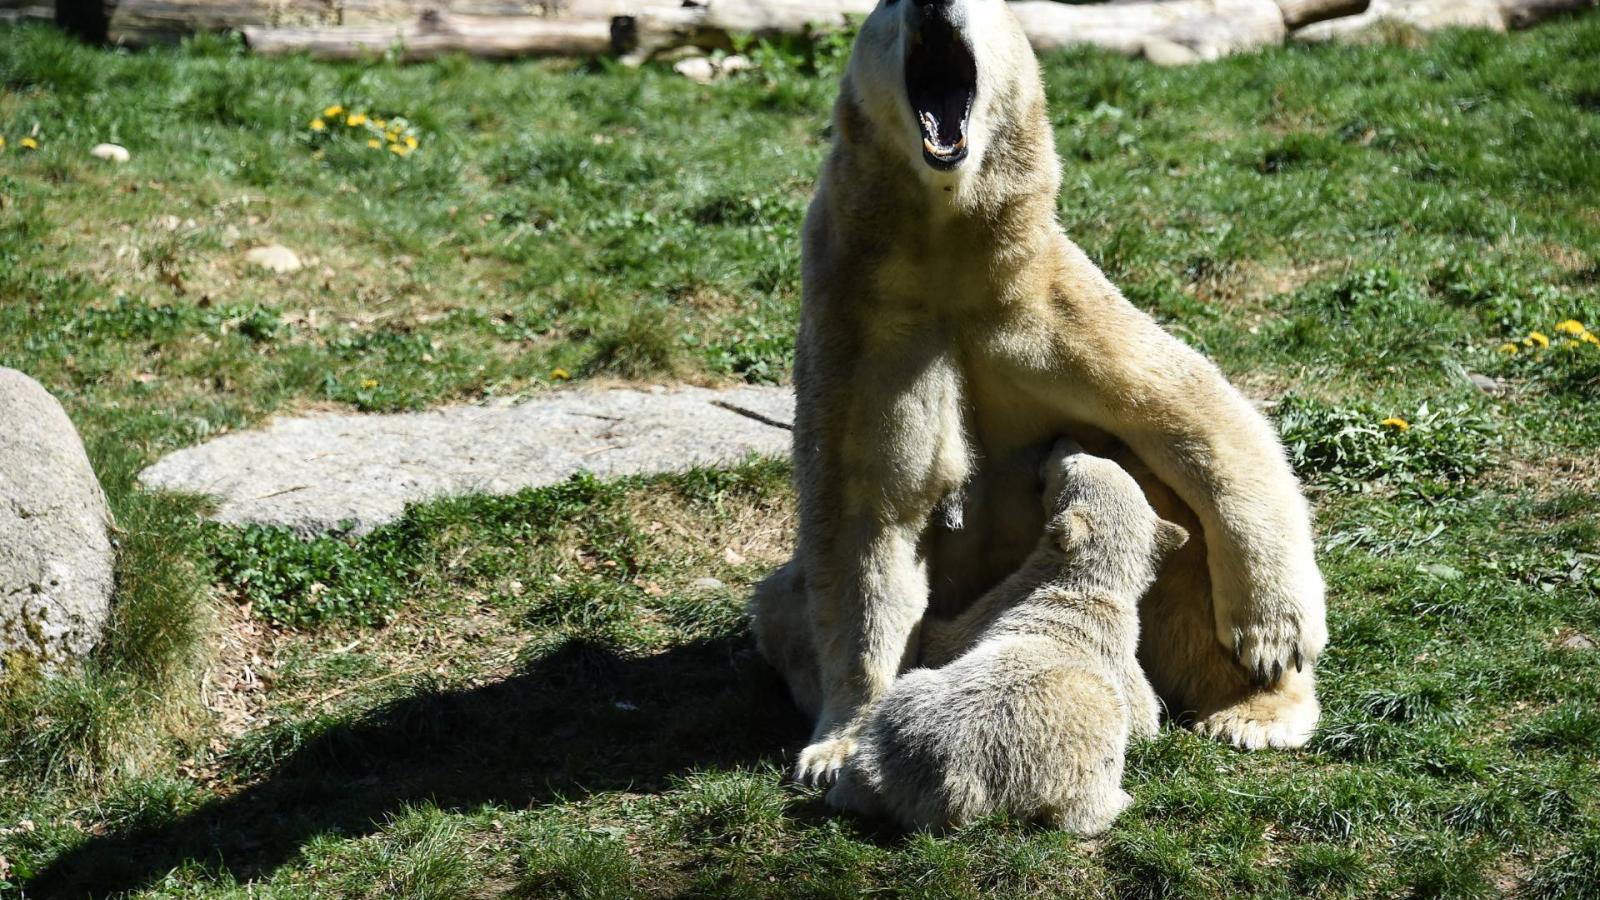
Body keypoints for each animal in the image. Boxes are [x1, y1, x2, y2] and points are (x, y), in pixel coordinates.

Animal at [755, 0, 1331, 784]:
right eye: (890, 5)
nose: (932, 1)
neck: (948, 243)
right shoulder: (863, 327)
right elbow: (868, 516)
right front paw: (837, 748)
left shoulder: (1047, 308)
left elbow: (1198, 416)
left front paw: (1273, 637)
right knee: (780, 602)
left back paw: (1253, 714)